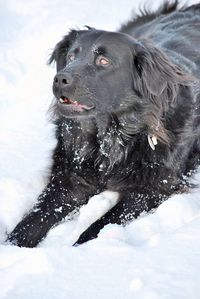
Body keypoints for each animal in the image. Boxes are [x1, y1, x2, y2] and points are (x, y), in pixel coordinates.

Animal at [7, 1, 200, 248]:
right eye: (71, 56)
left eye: (103, 61)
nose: (59, 79)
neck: (109, 137)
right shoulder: (68, 177)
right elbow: (32, 219)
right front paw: (12, 247)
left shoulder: (152, 188)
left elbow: (102, 223)